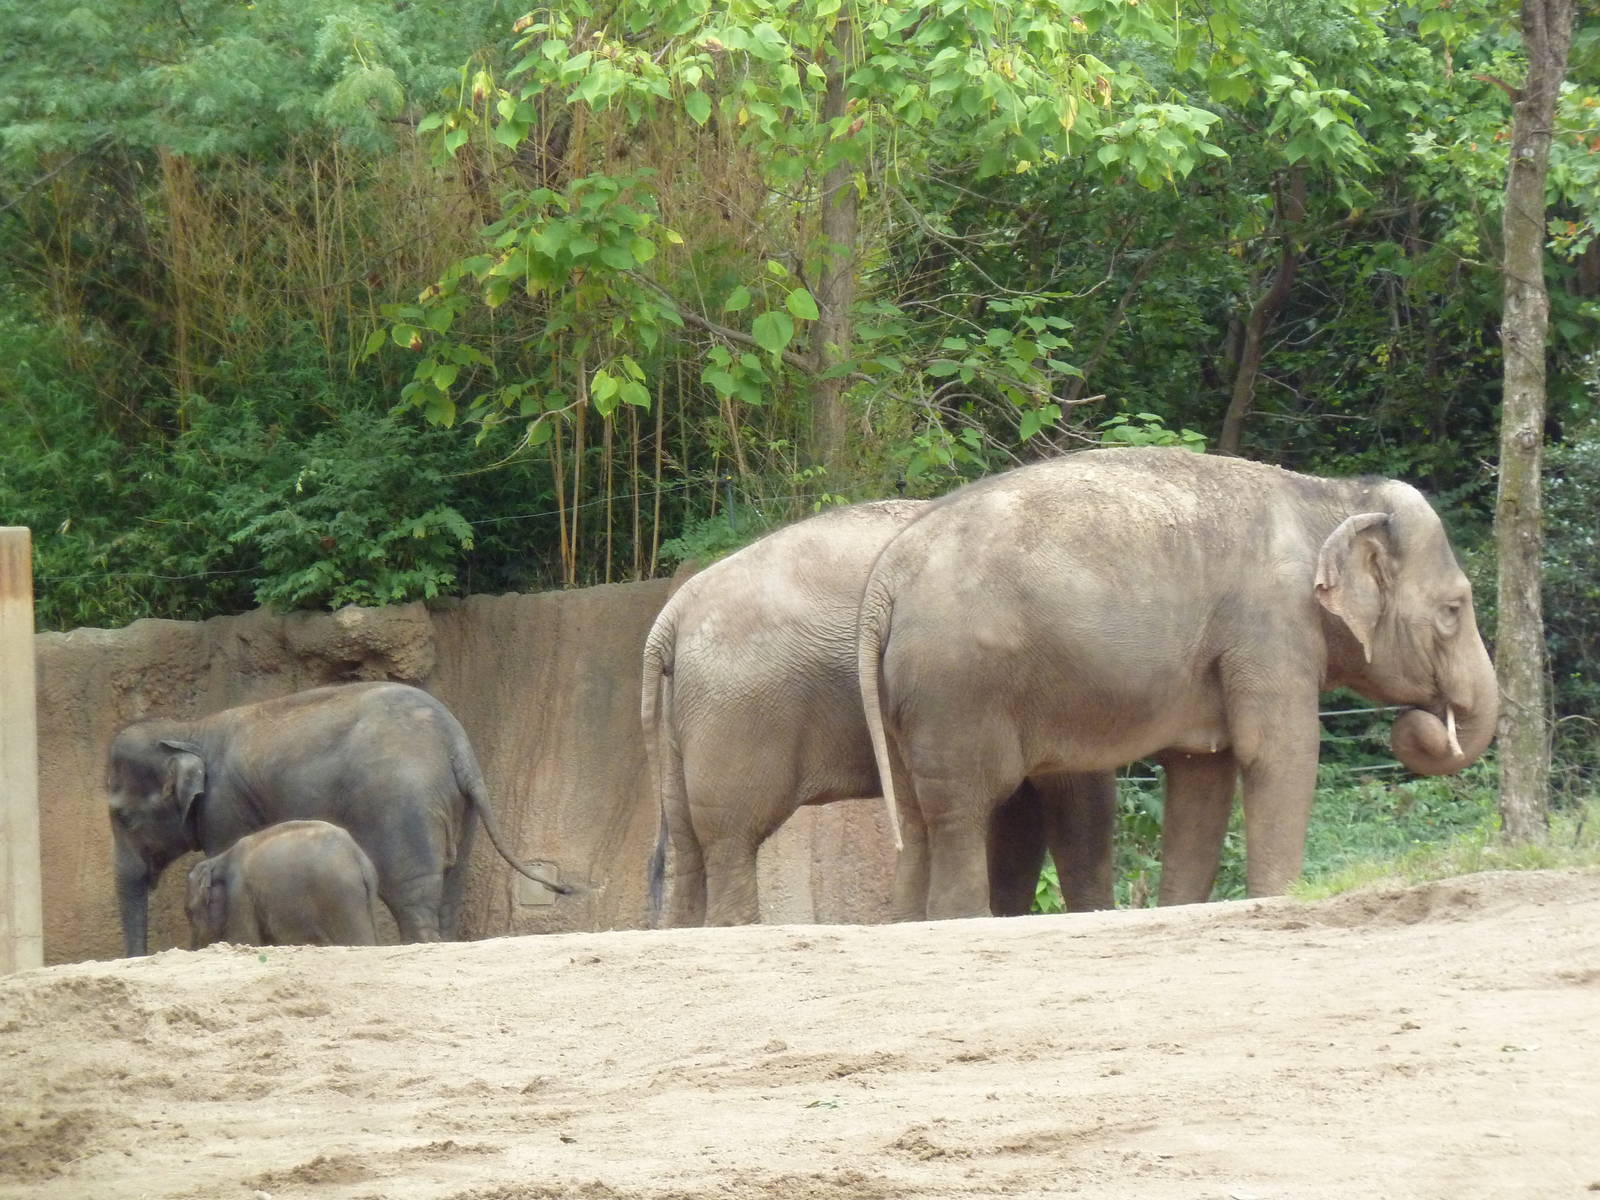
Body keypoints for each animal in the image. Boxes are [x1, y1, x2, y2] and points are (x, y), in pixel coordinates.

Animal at [184, 820, 381, 949]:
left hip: (340, 895)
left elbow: (244, 938)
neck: (219, 858)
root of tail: (357, 855)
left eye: (189, 912)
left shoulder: (239, 895)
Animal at [642, 499, 1117, 926]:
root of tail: (676, 608)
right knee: (731, 830)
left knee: (686, 835)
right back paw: (736, 925)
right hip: (738, 705)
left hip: (686, 714)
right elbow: (1073, 796)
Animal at [857, 446, 1498, 920]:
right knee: (962, 808)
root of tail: (886, 579)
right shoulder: (1271, 625)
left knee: (916, 816)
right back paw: (957, 918)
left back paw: (908, 923)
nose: (1424, 722)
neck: (1331, 496)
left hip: (903, 699)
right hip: (955, 690)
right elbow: (1280, 752)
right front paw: (1276, 898)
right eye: (1453, 610)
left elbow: (1203, 771)